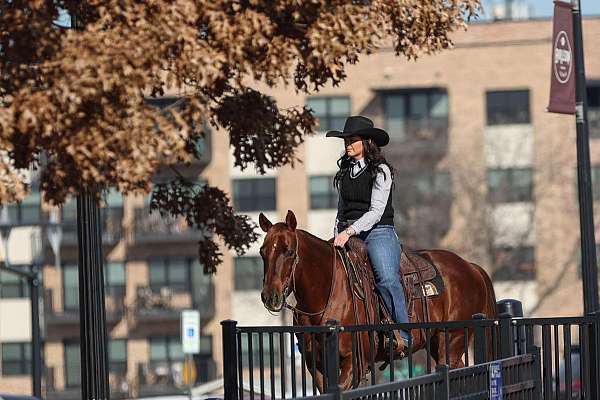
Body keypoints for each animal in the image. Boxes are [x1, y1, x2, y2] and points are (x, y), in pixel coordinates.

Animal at [258, 211, 496, 392]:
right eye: (262, 252)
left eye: (289, 251)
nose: (270, 296)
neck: (326, 295)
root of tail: (471, 267)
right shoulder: (315, 366)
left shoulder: (354, 364)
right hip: (438, 344)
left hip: (453, 341)